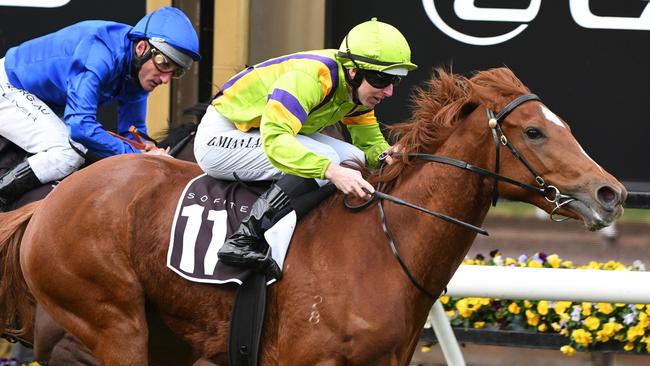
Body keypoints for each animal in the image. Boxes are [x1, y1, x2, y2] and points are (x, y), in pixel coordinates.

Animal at [0, 68, 624, 364]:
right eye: (534, 131)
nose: (611, 192)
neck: (379, 248)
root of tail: (51, 202)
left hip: (165, 337)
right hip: (113, 323)